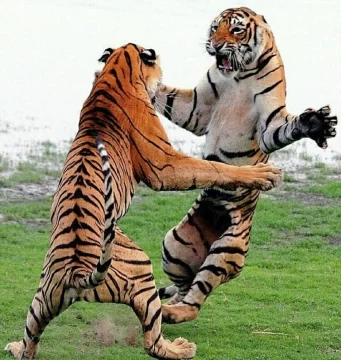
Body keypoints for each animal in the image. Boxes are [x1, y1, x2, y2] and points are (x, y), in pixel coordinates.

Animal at [4, 41, 282, 358]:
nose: (161, 86)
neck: (115, 73)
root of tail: (79, 273)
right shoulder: (166, 164)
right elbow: (214, 168)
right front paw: (264, 173)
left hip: (43, 300)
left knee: (31, 338)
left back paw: (15, 347)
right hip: (141, 270)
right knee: (152, 340)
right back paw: (181, 348)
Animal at [155, 7, 338, 324]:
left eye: (236, 30)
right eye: (214, 28)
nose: (215, 46)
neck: (239, 75)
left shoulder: (269, 122)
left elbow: (282, 129)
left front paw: (314, 123)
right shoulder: (196, 108)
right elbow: (169, 97)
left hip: (225, 249)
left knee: (195, 299)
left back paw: (171, 313)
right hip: (174, 243)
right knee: (184, 287)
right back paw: (167, 305)